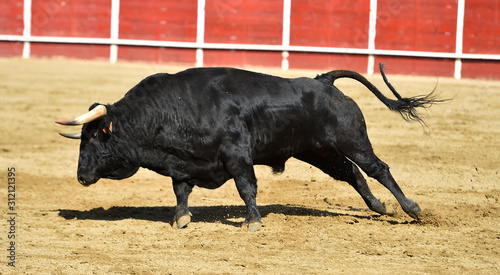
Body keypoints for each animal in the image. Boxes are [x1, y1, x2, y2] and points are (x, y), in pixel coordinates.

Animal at [56, 63, 444, 232]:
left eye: (94, 137)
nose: (81, 177)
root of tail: (323, 82)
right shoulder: (182, 163)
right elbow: (180, 192)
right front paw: (180, 219)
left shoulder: (237, 155)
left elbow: (247, 188)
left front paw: (252, 222)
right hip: (319, 151)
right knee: (352, 173)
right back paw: (380, 207)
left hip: (353, 139)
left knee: (378, 169)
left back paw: (411, 208)